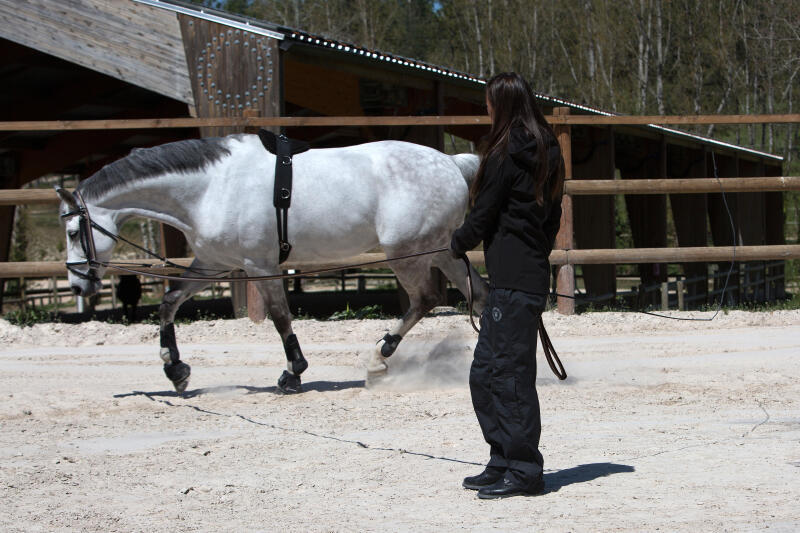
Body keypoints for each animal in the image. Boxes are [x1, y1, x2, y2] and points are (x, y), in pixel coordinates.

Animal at [54, 134, 488, 390]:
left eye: (74, 231)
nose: (78, 285)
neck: (211, 187)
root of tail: (452, 163)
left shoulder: (258, 265)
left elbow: (280, 317)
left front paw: (292, 372)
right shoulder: (214, 263)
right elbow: (169, 302)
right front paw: (175, 370)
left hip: (406, 253)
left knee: (426, 299)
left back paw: (377, 359)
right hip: (439, 250)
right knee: (477, 293)